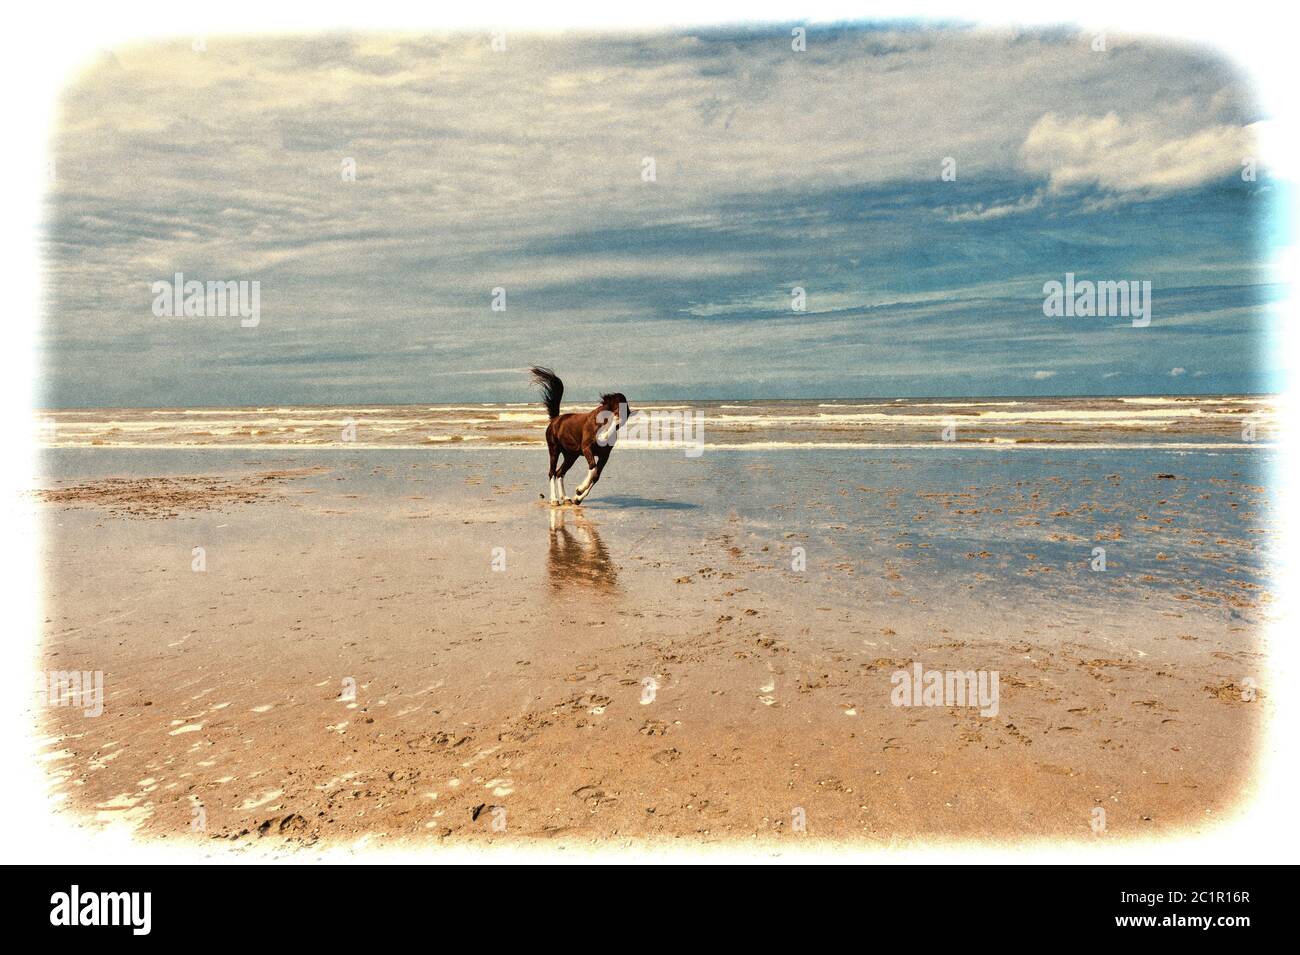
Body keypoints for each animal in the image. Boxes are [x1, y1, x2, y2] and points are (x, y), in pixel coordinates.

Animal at [529, 367, 631, 505]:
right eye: (617, 409)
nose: (603, 438)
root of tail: (556, 419)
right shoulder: (587, 448)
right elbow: (592, 467)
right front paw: (579, 490)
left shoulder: (605, 456)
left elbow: (596, 476)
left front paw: (577, 498)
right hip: (554, 450)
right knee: (552, 472)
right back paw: (554, 499)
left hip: (571, 455)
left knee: (560, 472)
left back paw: (566, 498)